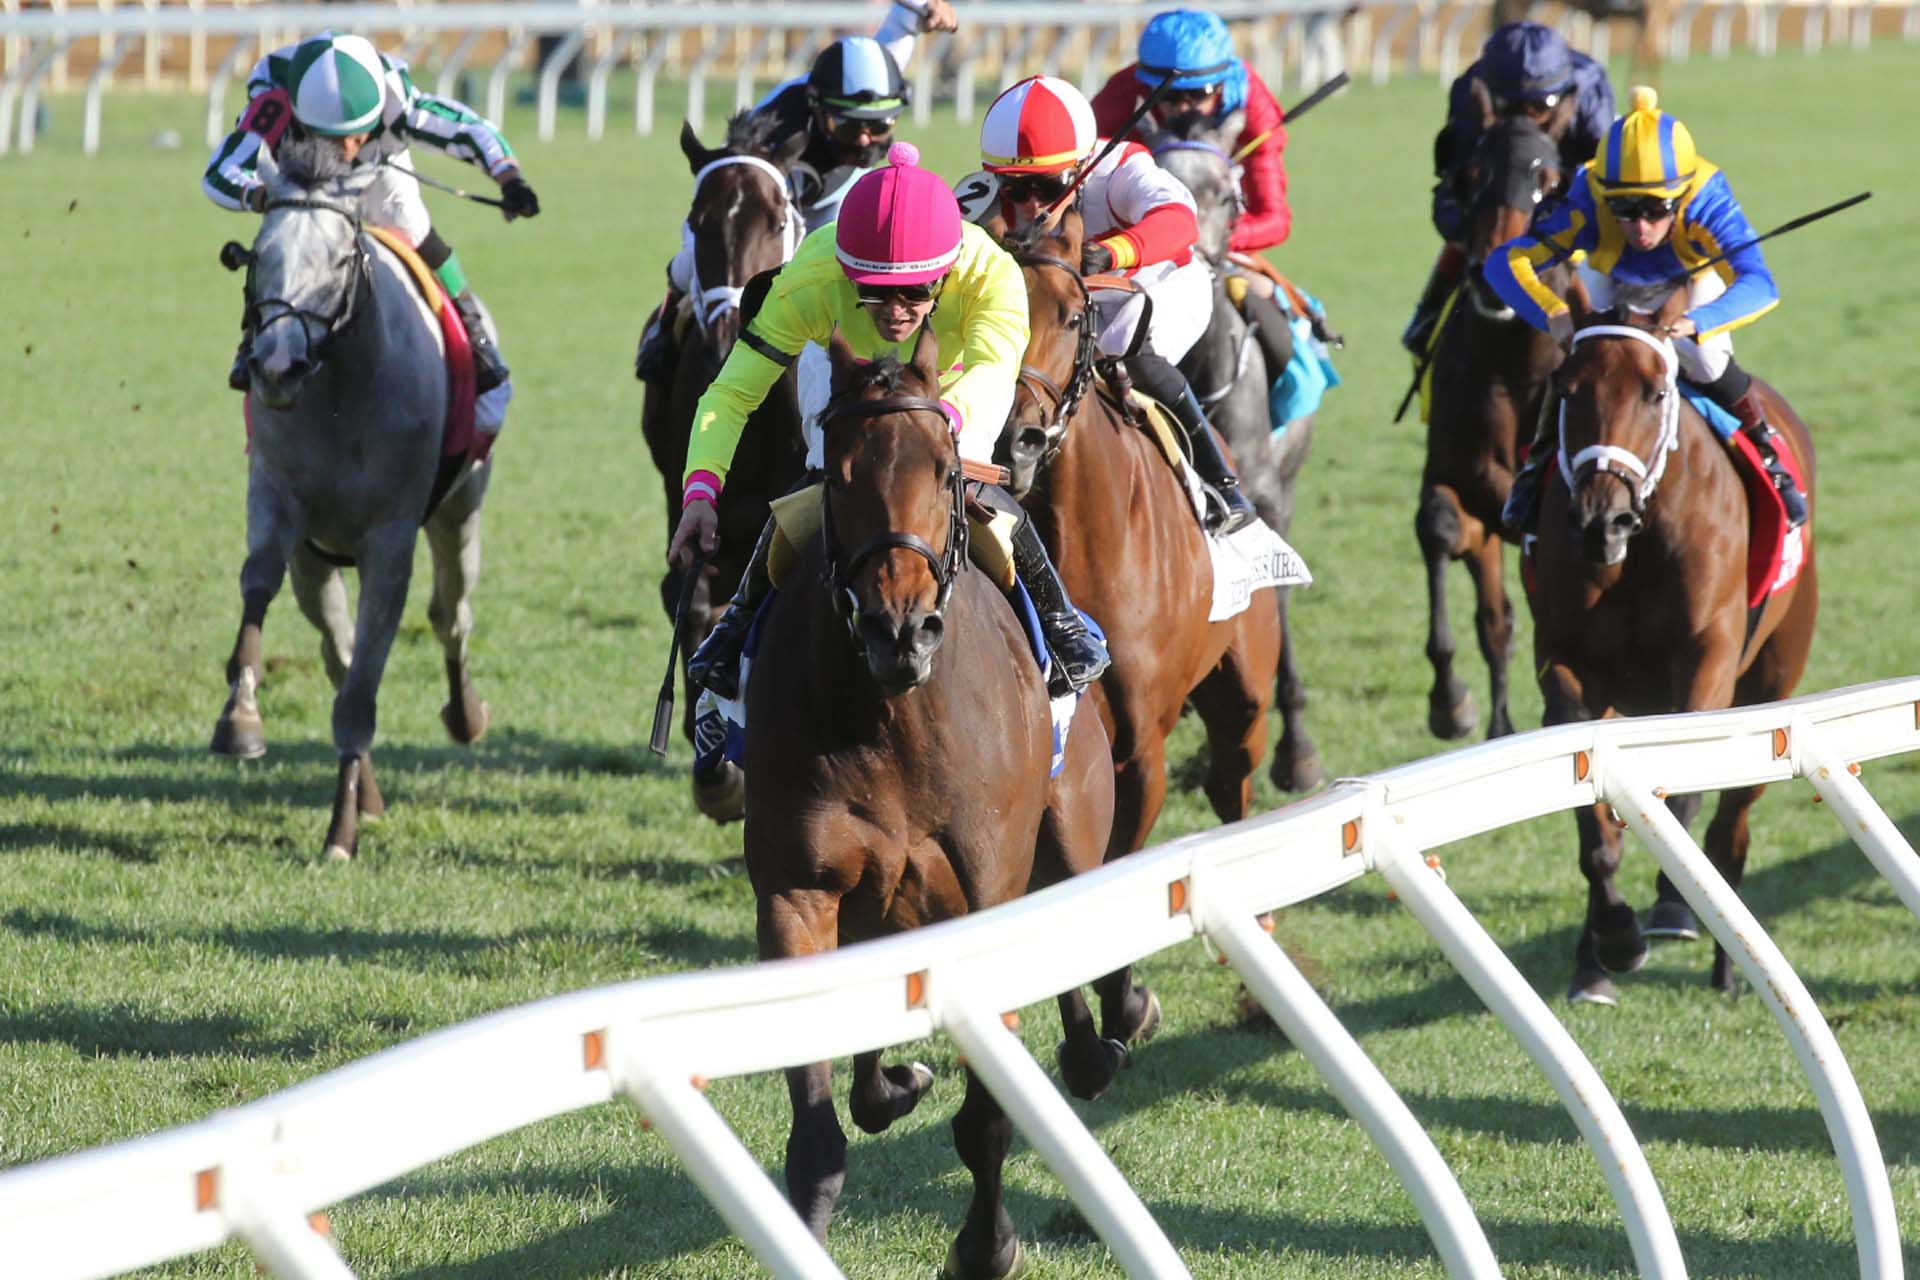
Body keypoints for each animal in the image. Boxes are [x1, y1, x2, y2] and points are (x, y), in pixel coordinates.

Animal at [207, 140, 491, 859]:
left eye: (338, 259)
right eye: (260, 253)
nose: (276, 366)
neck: (341, 393)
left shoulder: (390, 539)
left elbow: (364, 689)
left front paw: (341, 833)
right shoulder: (278, 499)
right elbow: (258, 584)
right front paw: (240, 719)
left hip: (460, 514)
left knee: (451, 617)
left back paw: (465, 716)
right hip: (316, 563)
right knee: (337, 650)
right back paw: (369, 792)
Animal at [741, 330, 1144, 1280]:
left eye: (943, 469)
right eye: (838, 472)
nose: (900, 628)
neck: (889, 718)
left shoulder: (984, 890)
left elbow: (988, 1118)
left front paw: (986, 1244)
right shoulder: (799, 892)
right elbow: (821, 1131)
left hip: (1068, 829)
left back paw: (1097, 1045)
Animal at [1528, 282, 1812, 1013]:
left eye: (1656, 392)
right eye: (1567, 389)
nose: (1602, 520)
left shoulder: (1706, 659)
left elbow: (1684, 800)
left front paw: (1672, 908)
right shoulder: (1569, 669)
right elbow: (1594, 825)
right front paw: (1613, 939)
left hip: (1773, 680)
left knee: (1730, 825)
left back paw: (1725, 960)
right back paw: (1592, 961)